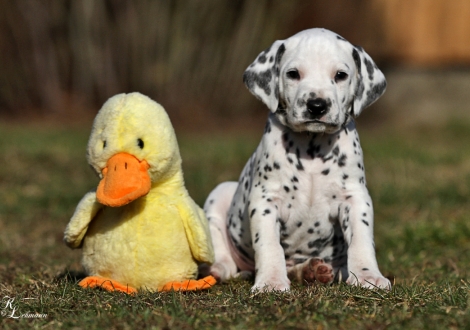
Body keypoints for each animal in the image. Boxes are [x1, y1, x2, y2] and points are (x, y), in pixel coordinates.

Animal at [204, 28, 392, 292]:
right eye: (293, 74)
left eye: (340, 75)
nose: (317, 105)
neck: (311, 148)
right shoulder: (266, 200)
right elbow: (269, 244)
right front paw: (271, 281)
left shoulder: (355, 198)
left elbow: (361, 240)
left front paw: (368, 275)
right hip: (220, 194)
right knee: (223, 253)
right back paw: (217, 269)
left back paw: (313, 271)